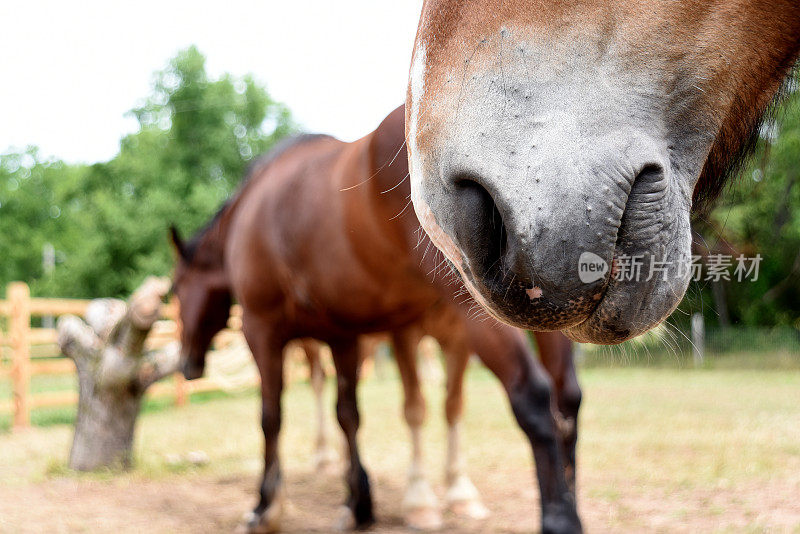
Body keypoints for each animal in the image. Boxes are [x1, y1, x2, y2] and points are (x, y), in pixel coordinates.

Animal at [169, 107, 580, 532]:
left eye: (176, 290)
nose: (186, 364)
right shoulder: (341, 336)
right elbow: (348, 415)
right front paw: (358, 502)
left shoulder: (261, 329)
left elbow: (271, 417)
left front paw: (266, 507)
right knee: (567, 397)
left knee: (532, 394)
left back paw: (561, 518)